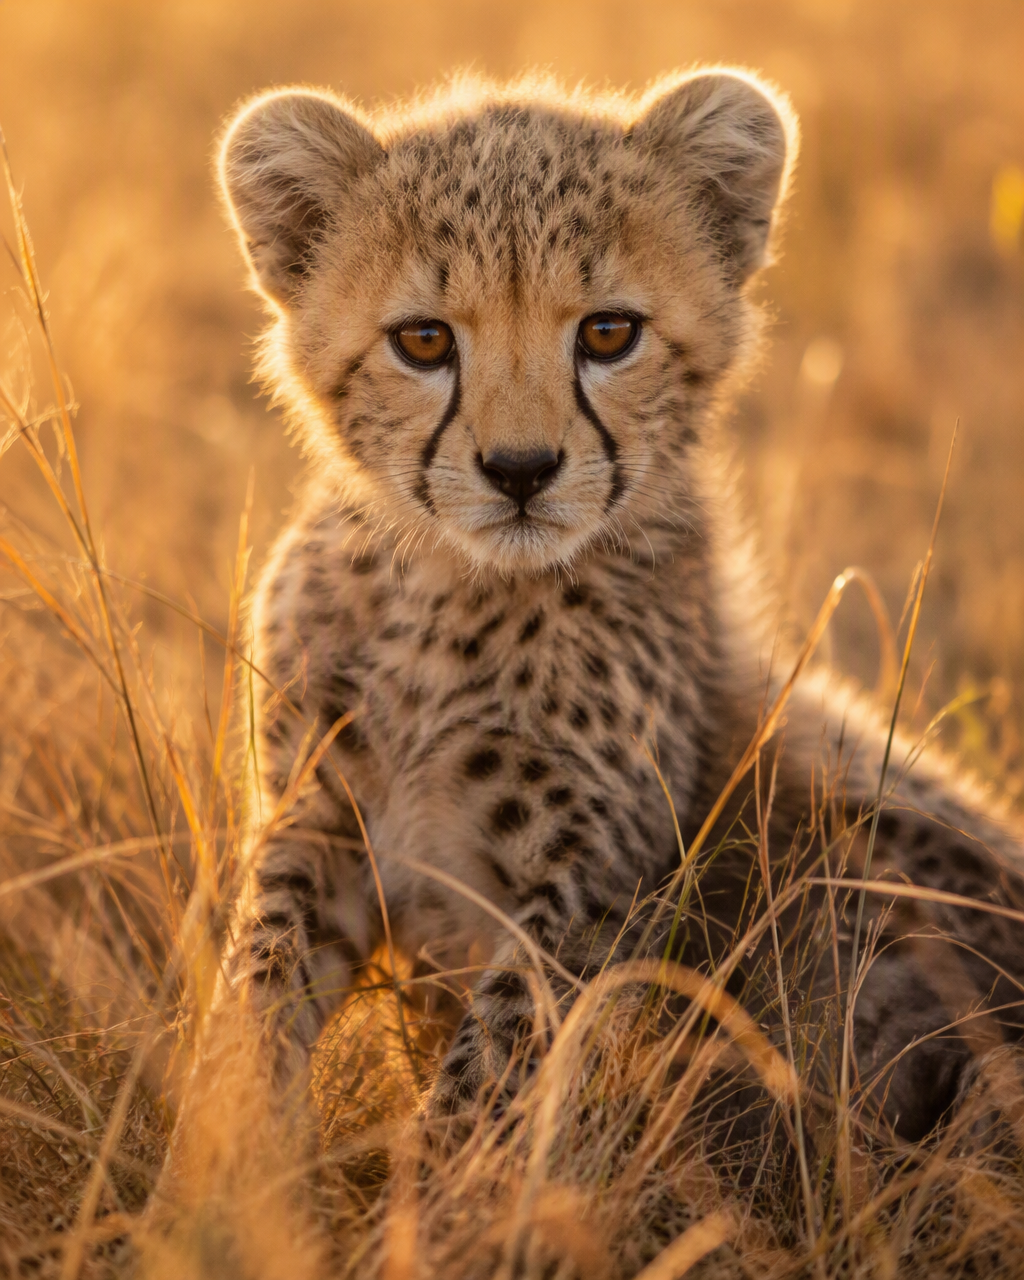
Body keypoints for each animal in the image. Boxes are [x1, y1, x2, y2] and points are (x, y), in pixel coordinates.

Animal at [213, 68, 1024, 1146]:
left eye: (608, 333)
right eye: (423, 341)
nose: (520, 469)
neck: (452, 596)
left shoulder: (587, 889)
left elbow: (491, 1069)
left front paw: (433, 1188)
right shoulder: (318, 818)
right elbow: (256, 983)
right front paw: (224, 1149)